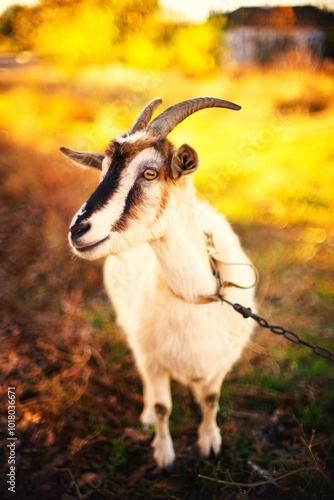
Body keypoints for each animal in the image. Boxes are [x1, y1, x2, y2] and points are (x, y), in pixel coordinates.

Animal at [61, 97, 256, 468]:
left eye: (150, 172)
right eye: (102, 170)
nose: (78, 230)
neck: (195, 297)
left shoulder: (221, 361)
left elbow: (211, 398)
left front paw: (210, 442)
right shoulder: (153, 358)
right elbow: (165, 406)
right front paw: (164, 454)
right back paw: (148, 415)